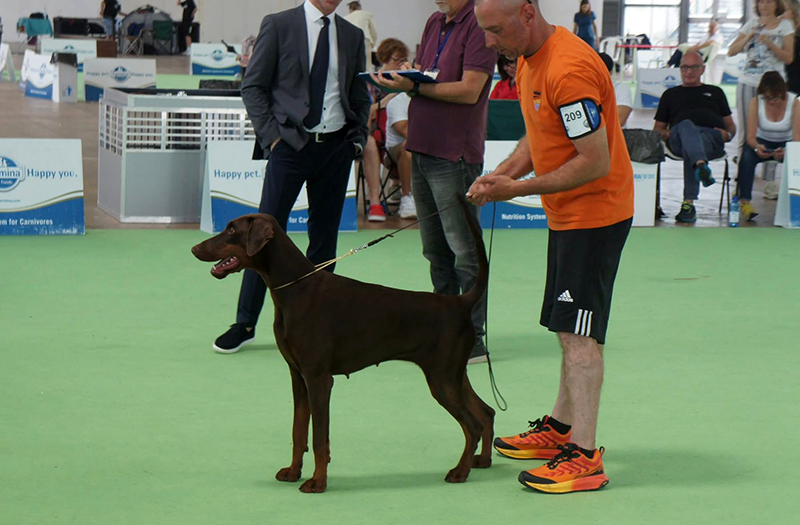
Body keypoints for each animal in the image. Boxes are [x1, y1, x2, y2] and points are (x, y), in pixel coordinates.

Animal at [191, 194, 493, 493]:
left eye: (232, 229)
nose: (194, 248)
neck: (295, 289)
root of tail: (460, 302)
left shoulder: (318, 379)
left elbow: (319, 437)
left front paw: (317, 481)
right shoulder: (298, 376)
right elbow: (298, 431)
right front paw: (293, 471)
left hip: (442, 379)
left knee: (473, 426)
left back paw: (460, 471)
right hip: (453, 375)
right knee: (486, 412)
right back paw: (483, 460)